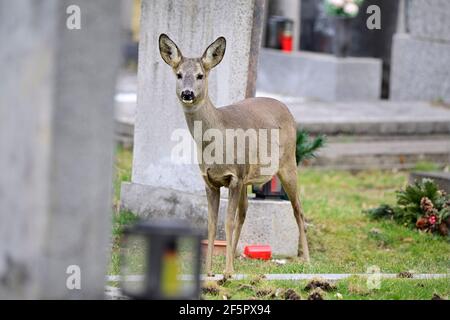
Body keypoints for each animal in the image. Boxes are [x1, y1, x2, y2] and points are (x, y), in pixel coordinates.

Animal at [158, 33, 310, 276]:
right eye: (179, 74)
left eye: (200, 75)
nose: (187, 93)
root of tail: (285, 107)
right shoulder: (210, 181)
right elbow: (212, 224)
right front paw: (210, 271)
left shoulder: (235, 176)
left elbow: (227, 222)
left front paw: (226, 272)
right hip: (250, 177)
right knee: (245, 213)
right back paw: (236, 258)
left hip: (288, 163)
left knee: (298, 209)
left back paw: (306, 259)